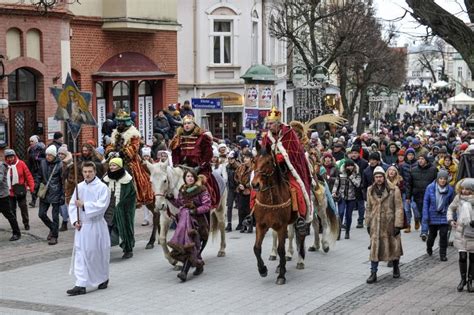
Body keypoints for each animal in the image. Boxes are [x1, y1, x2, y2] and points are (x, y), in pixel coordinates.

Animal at [250, 143, 306, 286]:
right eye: (254, 160)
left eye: (269, 162)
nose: (255, 184)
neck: (270, 198)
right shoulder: (261, 225)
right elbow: (256, 248)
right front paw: (262, 269)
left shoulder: (281, 226)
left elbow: (281, 250)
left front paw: (281, 275)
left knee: (301, 236)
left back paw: (300, 261)